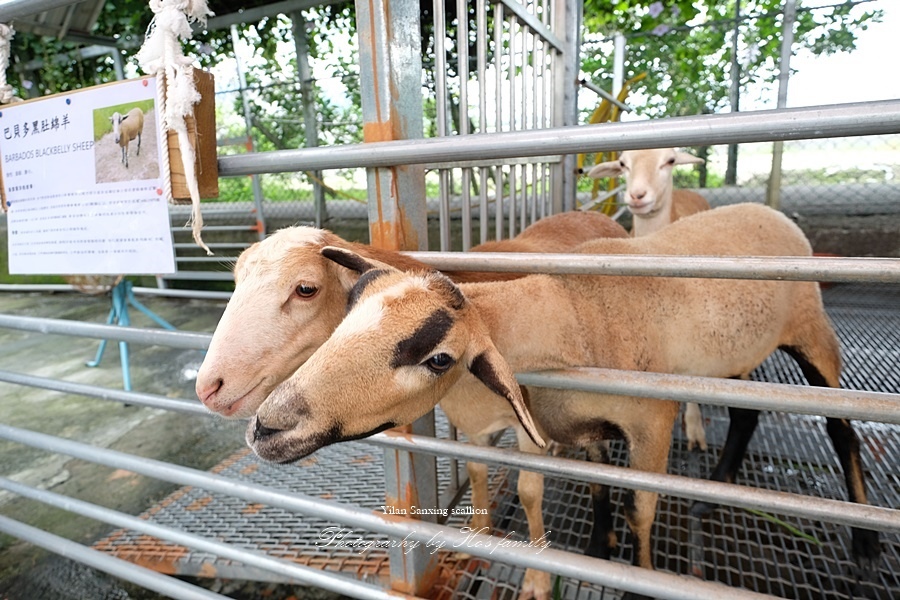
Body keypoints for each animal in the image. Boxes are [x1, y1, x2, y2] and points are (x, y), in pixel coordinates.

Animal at [246, 204, 880, 588]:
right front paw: (598, 547)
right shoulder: (574, 423)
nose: (267, 427)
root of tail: (770, 211)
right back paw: (713, 492)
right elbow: (597, 481)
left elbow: (641, 507)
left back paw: (867, 542)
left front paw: (638, 575)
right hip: (735, 359)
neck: (571, 307)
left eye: (439, 359)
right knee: (747, 414)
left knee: (841, 427)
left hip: (812, 332)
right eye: (349, 311)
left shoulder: (653, 421)